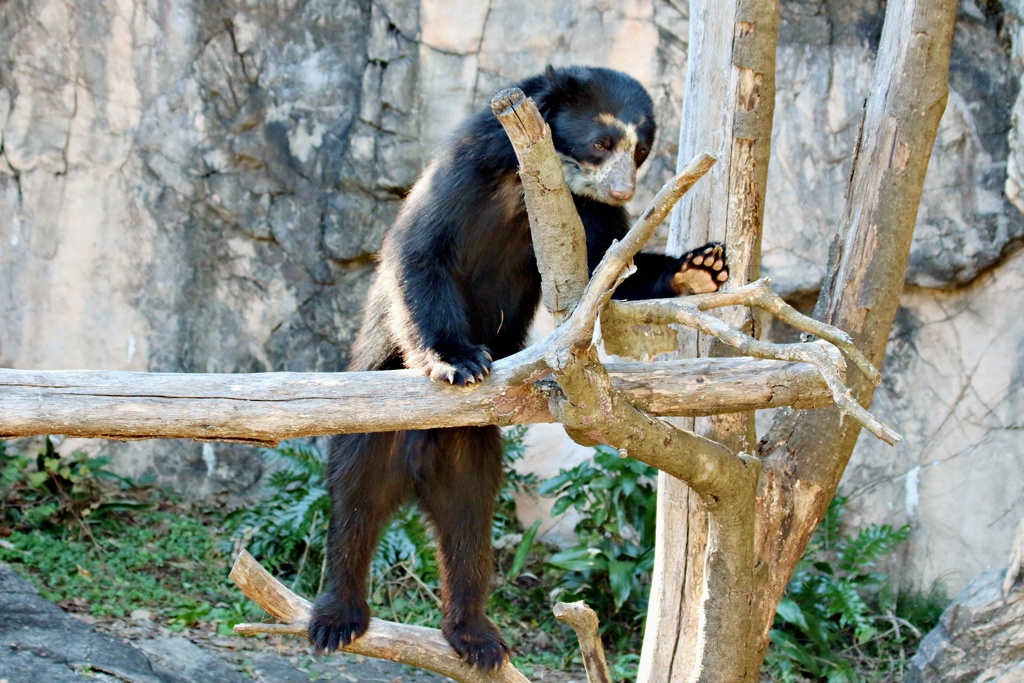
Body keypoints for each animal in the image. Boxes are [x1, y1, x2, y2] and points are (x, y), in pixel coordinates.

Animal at [307, 66, 733, 671]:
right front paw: (459, 361)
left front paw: (700, 269)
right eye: (602, 142)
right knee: (354, 504)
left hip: (472, 455)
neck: (528, 183)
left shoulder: (585, 218)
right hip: (373, 431)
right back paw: (336, 619)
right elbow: (422, 251)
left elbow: (611, 268)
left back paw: (476, 638)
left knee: (468, 531)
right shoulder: (466, 171)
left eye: (640, 150)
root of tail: (419, 462)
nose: (624, 191)